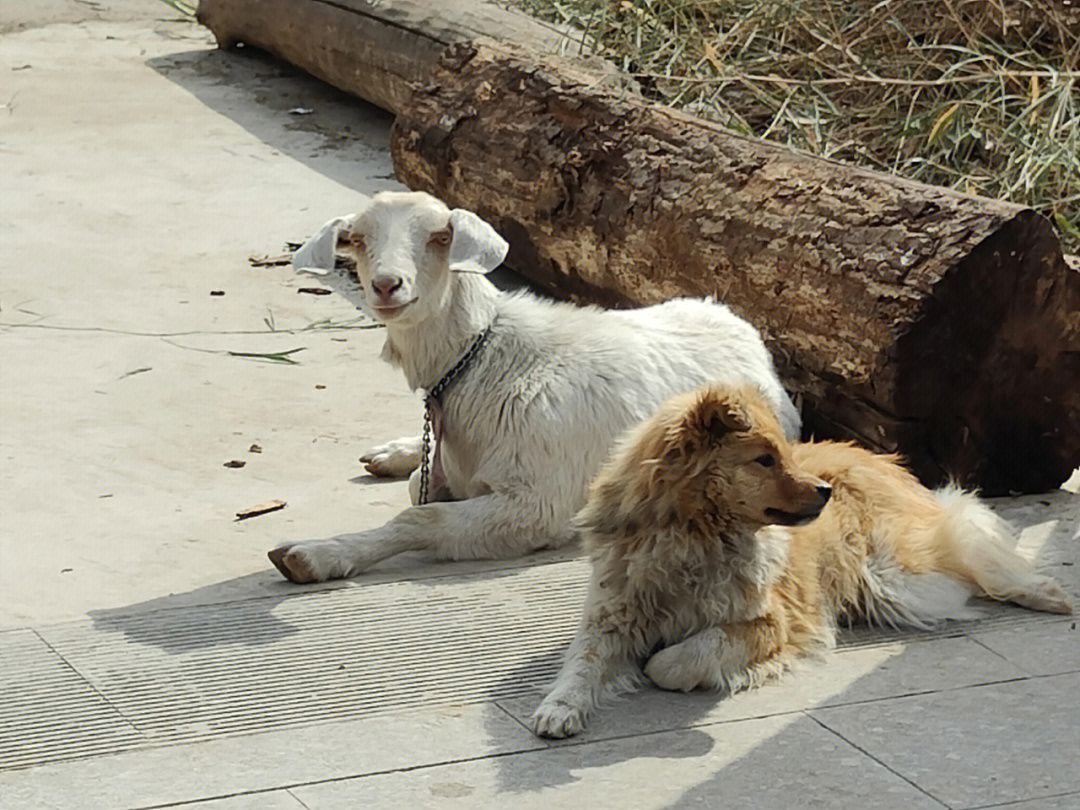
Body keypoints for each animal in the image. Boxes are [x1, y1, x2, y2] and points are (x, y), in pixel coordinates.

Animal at [265, 190, 799, 583]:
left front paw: (313, 555)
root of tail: (737, 322)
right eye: (356, 238)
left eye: (440, 236)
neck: (483, 362)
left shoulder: (536, 502)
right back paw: (391, 452)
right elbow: (421, 483)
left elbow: (421, 515)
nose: (386, 285)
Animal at [527, 386, 1067, 743]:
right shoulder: (609, 616)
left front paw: (664, 660)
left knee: (971, 546)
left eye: (783, 454)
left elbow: (676, 659)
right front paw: (559, 708)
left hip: (893, 575)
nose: (824, 492)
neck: (692, 537)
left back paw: (1046, 593)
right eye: (764, 460)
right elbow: (582, 664)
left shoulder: (768, 623)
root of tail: (877, 457)